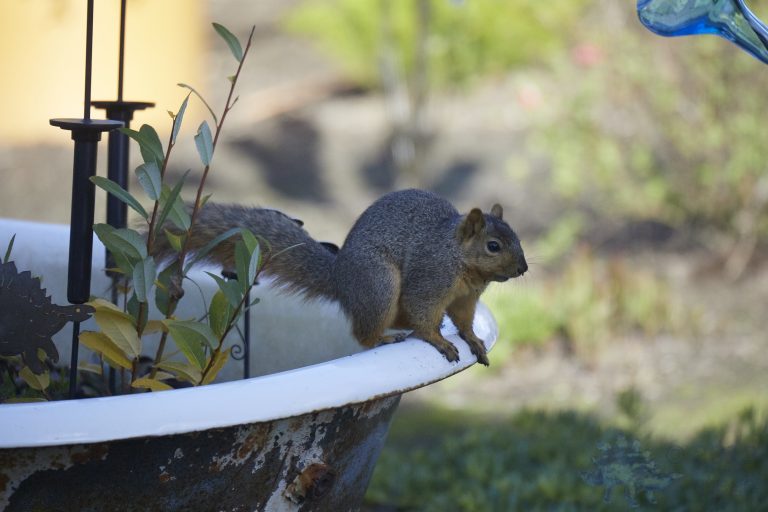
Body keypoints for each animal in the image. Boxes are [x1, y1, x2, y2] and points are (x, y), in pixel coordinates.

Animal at [156, 189, 527, 365]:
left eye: (517, 237)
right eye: (493, 246)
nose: (523, 269)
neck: (461, 262)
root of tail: (340, 279)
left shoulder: (466, 297)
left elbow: (463, 319)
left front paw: (472, 339)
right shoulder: (430, 278)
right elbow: (423, 313)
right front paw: (438, 340)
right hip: (379, 285)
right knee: (363, 334)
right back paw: (383, 339)